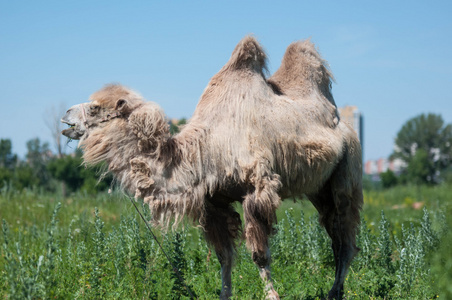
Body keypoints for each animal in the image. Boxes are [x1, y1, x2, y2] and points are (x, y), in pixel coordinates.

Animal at [61, 36, 364, 298]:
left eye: (96, 107)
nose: (65, 115)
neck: (205, 151)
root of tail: (344, 123)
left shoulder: (256, 189)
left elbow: (259, 255)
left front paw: (272, 295)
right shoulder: (213, 202)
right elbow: (224, 257)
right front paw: (224, 295)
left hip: (348, 168)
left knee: (346, 236)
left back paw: (335, 291)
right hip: (318, 189)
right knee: (335, 233)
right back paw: (336, 291)